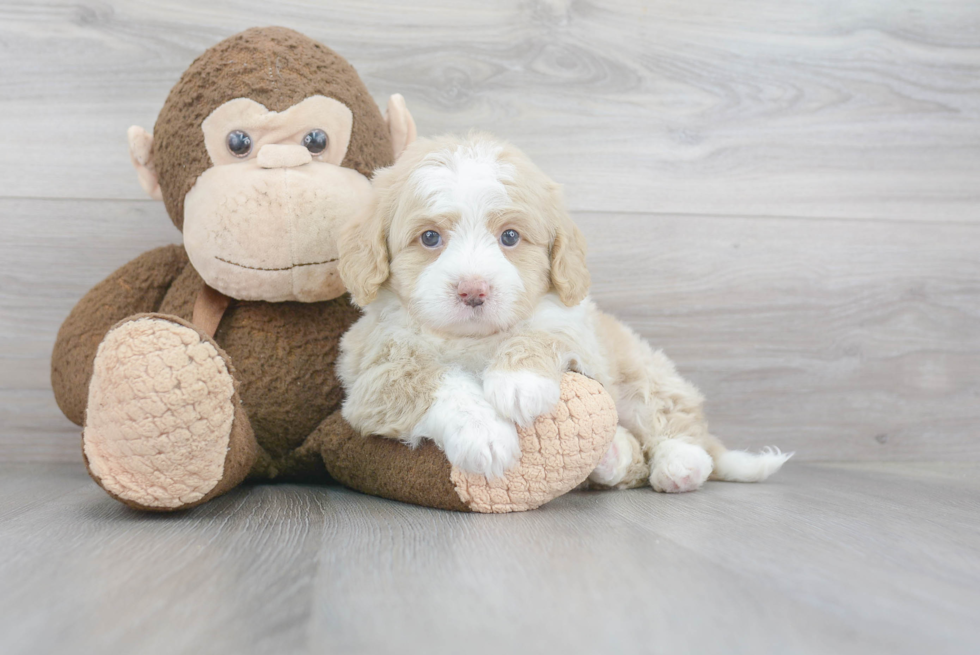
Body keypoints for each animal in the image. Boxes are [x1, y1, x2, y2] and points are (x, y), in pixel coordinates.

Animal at [334, 133, 788, 492]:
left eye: (510, 237)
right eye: (430, 238)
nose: (473, 290)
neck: (475, 339)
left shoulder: (578, 332)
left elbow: (541, 333)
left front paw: (518, 383)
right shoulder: (372, 374)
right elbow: (434, 379)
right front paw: (484, 434)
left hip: (642, 371)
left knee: (670, 416)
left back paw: (681, 463)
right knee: (630, 464)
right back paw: (612, 455)